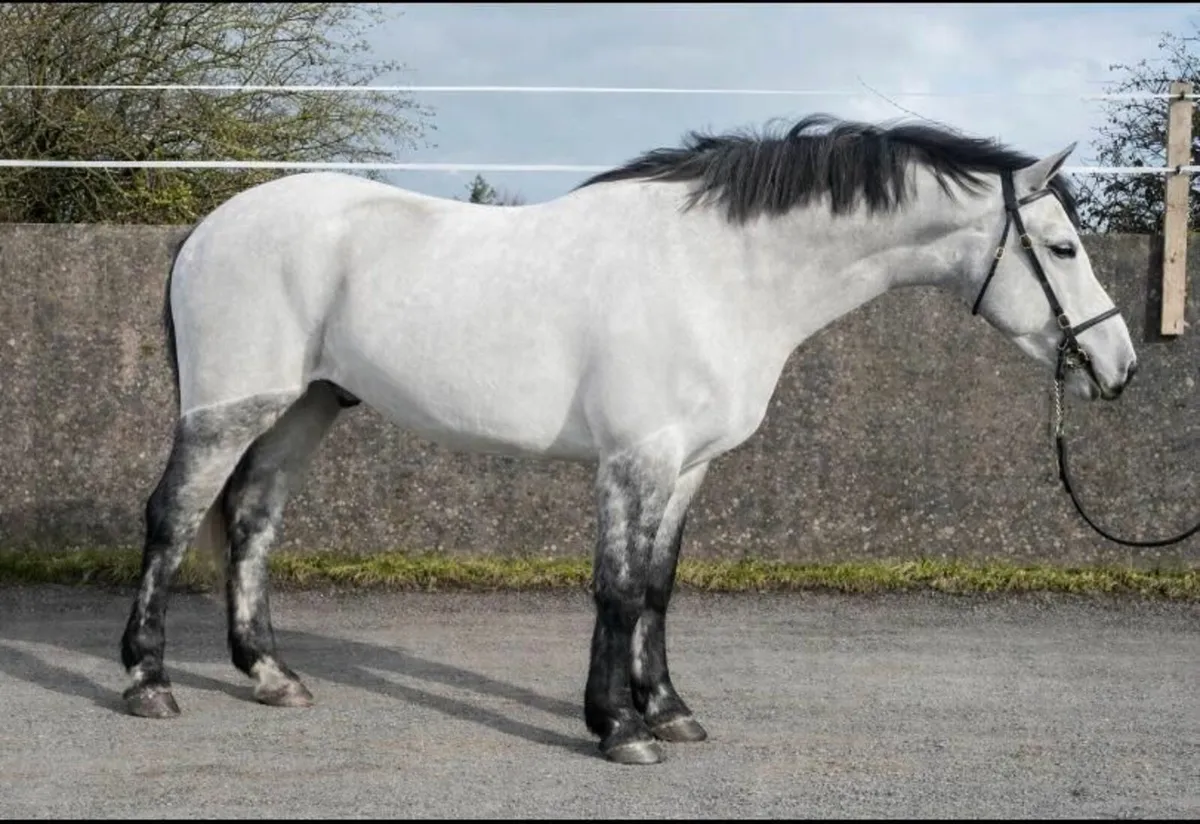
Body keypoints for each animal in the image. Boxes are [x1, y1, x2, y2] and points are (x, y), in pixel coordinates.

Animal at [119, 114, 1138, 765]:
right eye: (1061, 249)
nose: (1117, 365)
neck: (719, 274)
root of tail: (208, 228)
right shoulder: (635, 459)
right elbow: (614, 588)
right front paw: (619, 729)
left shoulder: (687, 467)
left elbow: (655, 588)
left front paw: (671, 712)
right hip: (231, 407)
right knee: (171, 520)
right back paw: (148, 684)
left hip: (306, 408)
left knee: (252, 520)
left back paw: (270, 674)